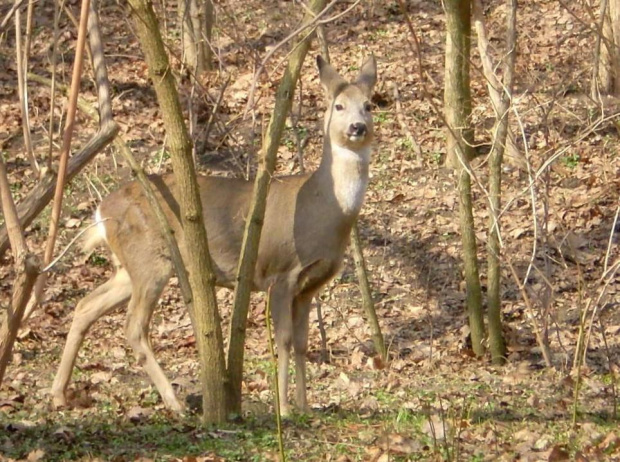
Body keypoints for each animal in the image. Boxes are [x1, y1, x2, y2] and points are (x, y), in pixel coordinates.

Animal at [50, 56, 376, 416]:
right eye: (338, 105)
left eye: (369, 105)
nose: (357, 127)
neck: (323, 210)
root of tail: (101, 212)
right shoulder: (281, 273)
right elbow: (285, 341)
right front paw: (285, 410)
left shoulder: (310, 286)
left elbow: (304, 343)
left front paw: (304, 408)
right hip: (150, 260)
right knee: (133, 326)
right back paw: (175, 402)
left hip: (129, 266)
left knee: (86, 306)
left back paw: (59, 394)